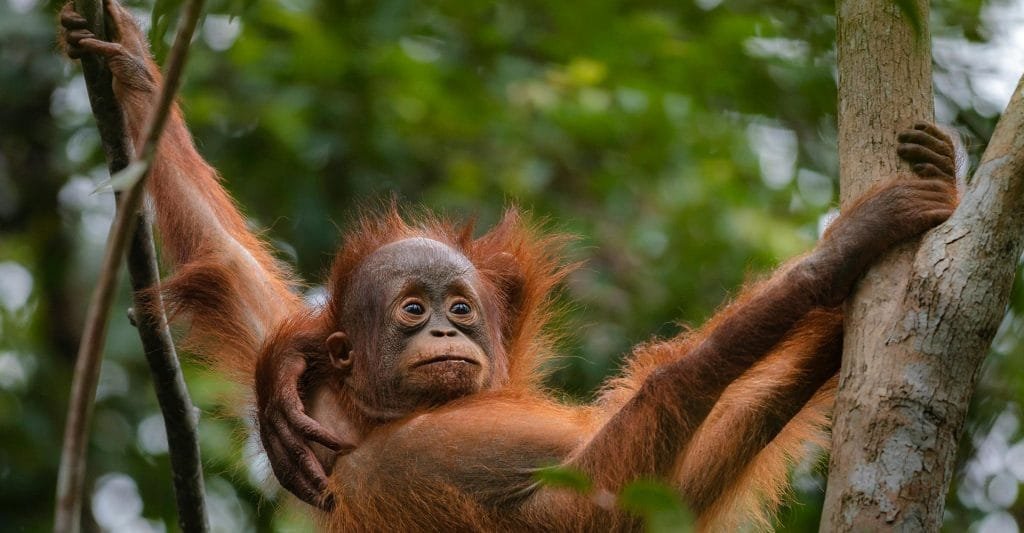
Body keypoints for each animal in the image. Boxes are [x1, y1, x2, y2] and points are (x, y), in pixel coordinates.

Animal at [60, 2, 959, 530]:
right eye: (413, 310)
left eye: (458, 307)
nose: (447, 334)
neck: (371, 415)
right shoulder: (402, 466)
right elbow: (595, 505)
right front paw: (839, 253)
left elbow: (221, 255)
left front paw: (130, 61)